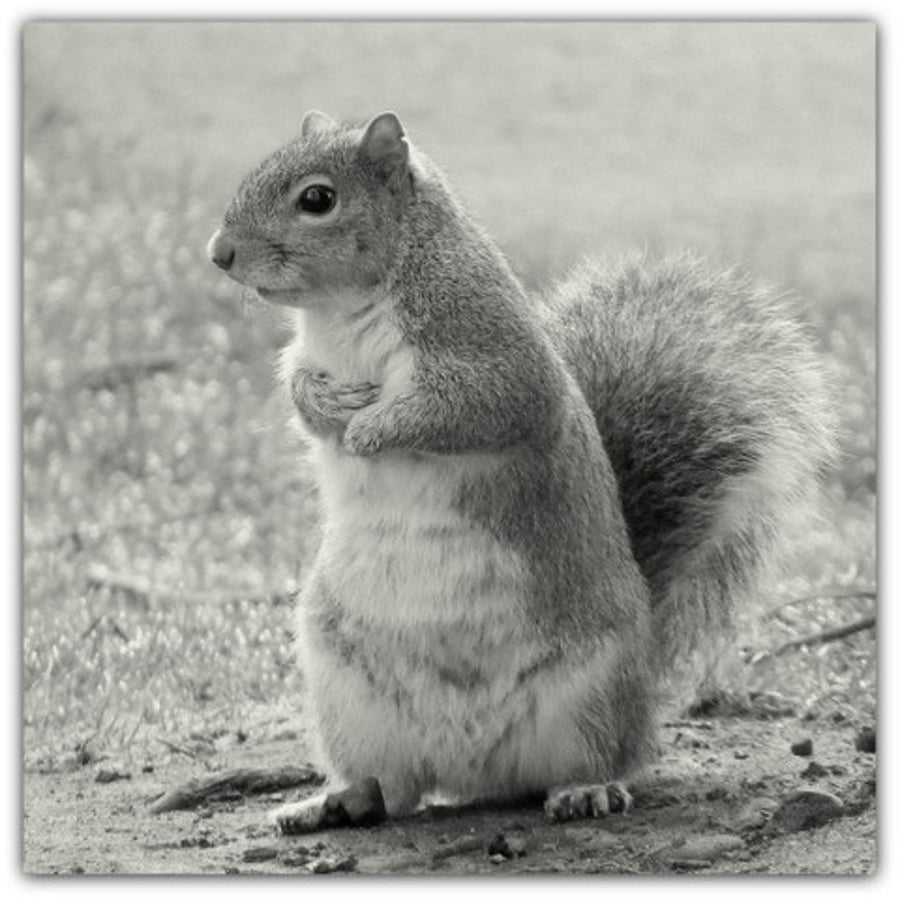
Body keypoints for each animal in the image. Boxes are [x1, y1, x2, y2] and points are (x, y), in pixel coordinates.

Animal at [207, 110, 835, 827]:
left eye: (317, 199)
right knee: (390, 789)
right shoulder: (311, 353)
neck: (345, 309)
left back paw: (585, 789)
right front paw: (327, 405)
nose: (218, 252)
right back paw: (334, 801)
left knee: (597, 759)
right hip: (346, 691)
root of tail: (472, 772)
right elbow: (298, 391)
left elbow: (468, 408)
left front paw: (371, 429)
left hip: (593, 689)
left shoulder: (493, 353)